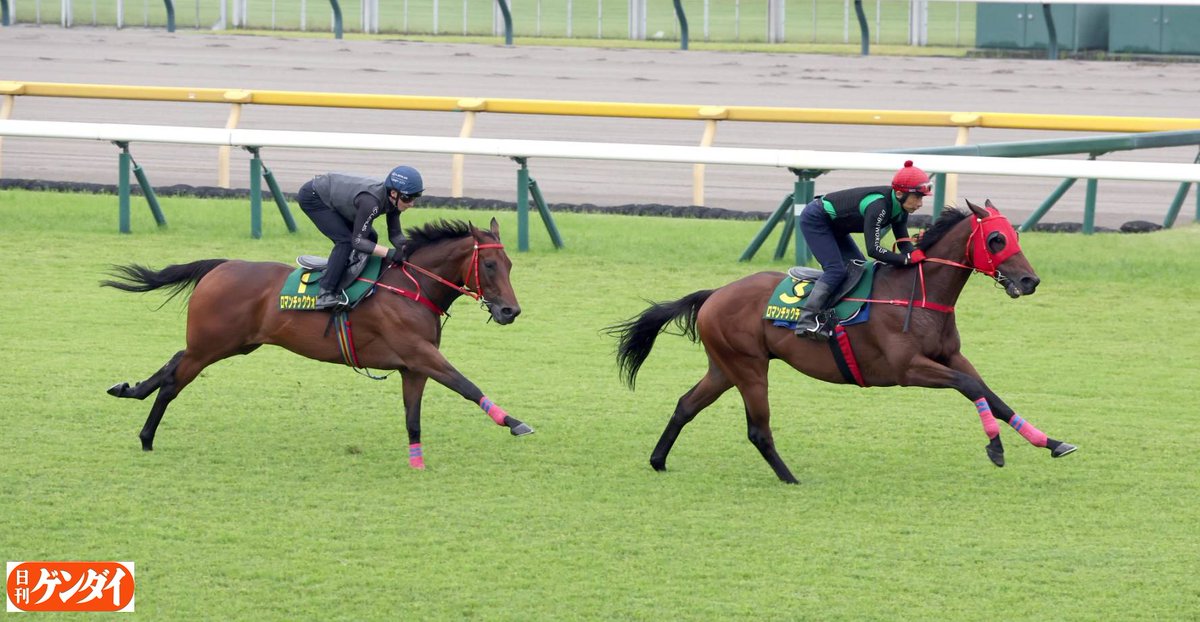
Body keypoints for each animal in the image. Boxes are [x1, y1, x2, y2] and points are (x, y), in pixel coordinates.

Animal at [102, 218, 532, 470]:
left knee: (174, 360)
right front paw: (513, 422)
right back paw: (146, 438)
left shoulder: (412, 366)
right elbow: (466, 384)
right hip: (212, 345)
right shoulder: (421, 354)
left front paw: (417, 463)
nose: (510, 310)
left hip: (230, 343)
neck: (412, 286)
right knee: (174, 381)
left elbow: (413, 417)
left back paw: (128, 389)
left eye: (510, 265)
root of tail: (221, 266)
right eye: (490, 265)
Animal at [609, 200, 1076, 484]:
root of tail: (714, 294)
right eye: (996, 239)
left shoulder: (951, 356)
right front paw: (995, 447)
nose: (1029, 280)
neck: (918, 292)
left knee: (686, 404)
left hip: (725, 366)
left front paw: (1052, 442)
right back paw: (790, 478)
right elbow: (971, 387)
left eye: (1015, 236)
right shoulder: (907, 369)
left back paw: (658, 460)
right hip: (748, 368)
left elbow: (989, 392)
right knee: (758, 429)